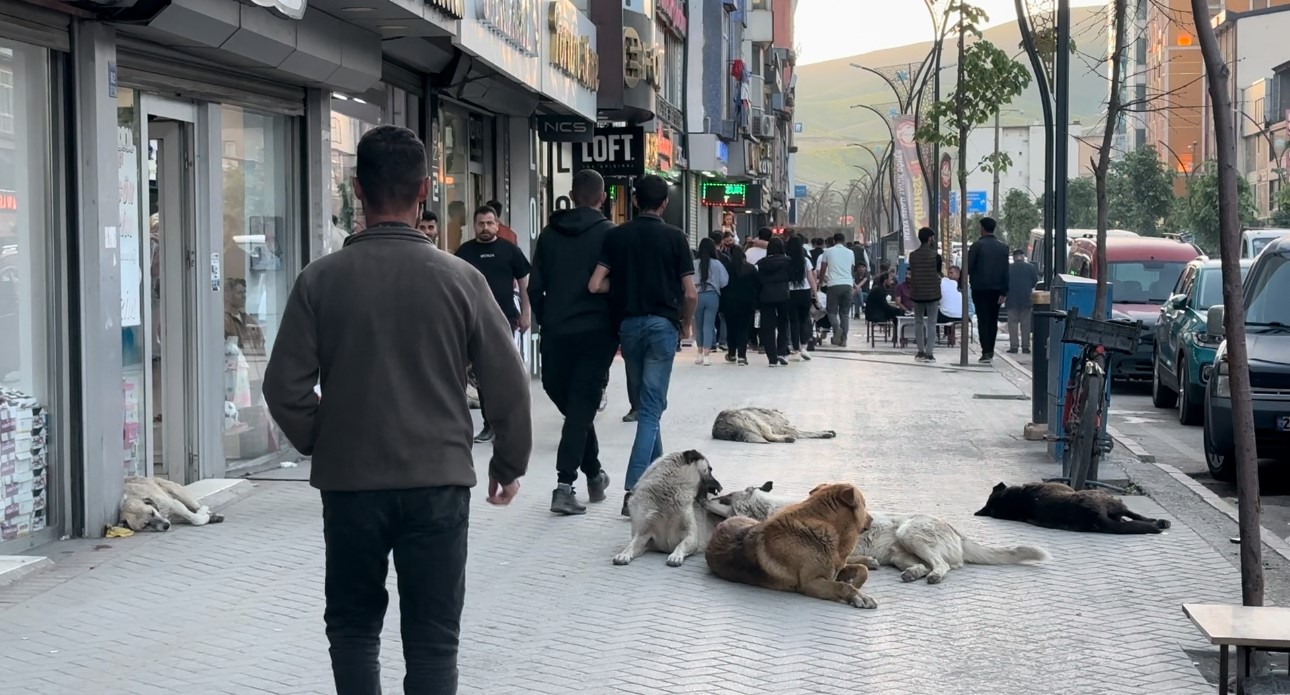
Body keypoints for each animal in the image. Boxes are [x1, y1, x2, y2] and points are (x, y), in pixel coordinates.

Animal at [706, 484, 1047, 582]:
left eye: (725, 498)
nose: (705, 497)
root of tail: (957, 530)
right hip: (901, 553)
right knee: (923, 564)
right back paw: (914, 573)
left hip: (911, 532)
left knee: (945, 565)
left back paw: (934, 575)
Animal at [706, 484, 877, 608]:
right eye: (864, 504)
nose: (872, 519)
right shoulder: (811, 583)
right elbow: (841, 586)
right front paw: (856, 594)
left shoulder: (834, 568)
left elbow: (862, 570)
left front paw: (856, 580)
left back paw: (868, 560)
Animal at [712, 407, 841, 446]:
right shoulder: (789, 428)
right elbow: (809, 432)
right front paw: (825, 433)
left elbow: (807, 432)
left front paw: (826, 431)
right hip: (759, 422)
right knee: (769, 437)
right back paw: (788, 438)